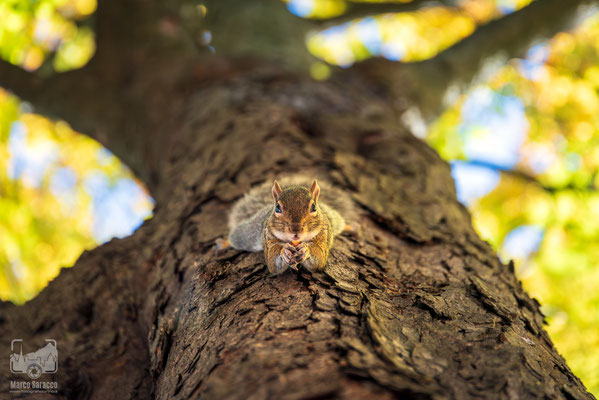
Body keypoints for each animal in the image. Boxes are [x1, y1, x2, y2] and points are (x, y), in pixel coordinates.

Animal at [217, 177, 354, 276]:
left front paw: (306, 250)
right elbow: (273, 264)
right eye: (278, 208)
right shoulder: (269, 237)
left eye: (314, 207)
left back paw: (350, 227)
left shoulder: (323, 235)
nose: (295, 230)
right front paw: (285, 252)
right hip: (249, 233)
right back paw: (224, 243)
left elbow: (319, 261)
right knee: (237, 237)